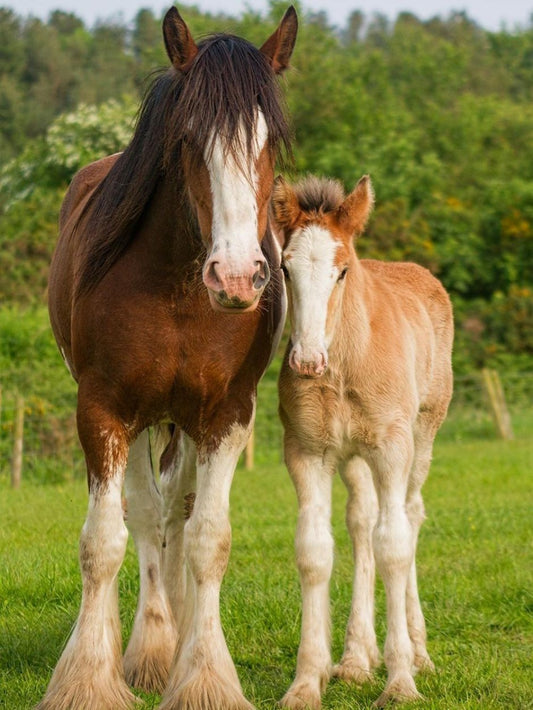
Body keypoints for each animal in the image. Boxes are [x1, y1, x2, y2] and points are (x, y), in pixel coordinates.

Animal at [41, 7, 297, 710]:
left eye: (271, 140)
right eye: (187, 138)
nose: (236, 277)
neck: (179, 293)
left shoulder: (228, 415)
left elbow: (208, 539)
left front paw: (204, 676)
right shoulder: (103, 410)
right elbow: (103, 541)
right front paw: (89, 679)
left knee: (176, 518)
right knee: (145, 515)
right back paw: (147, 648)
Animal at [271, 174, 453, 708]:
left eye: (343, 272)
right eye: (285, 268)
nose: (306, 360)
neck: (344, 363)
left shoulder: (392, 448)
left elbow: (394, 545)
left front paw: (400, 682)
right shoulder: (307, 452)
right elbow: (314, 551)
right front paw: (307, 682)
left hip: (423, 435)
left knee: (409, 517)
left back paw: (418, 652)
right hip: (353, 457)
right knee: (361, 520)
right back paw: (355, 659)